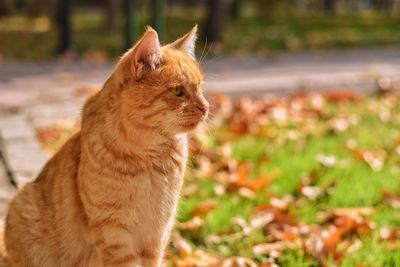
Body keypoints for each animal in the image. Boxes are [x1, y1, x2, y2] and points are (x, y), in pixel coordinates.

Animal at [3, 25, 209, 267]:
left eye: (200, 87)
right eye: (178, 91)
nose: (206, 107)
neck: (149, 159)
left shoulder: (157, 235)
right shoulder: (115, 235)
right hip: (22, 205)